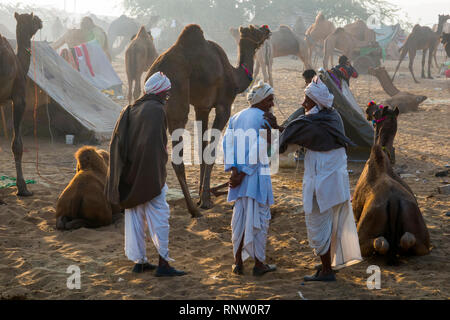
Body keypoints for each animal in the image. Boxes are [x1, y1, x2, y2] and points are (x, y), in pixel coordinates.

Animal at [146, 24, 268, 218]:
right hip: (177, 105)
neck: (234, 76)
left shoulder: (201, 107)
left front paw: (203, 194)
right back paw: (193, 210)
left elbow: (202, 147)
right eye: (255, 29)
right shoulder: (223, 106)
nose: (267, 29)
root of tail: (154, 70)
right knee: (176, 159)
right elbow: (210, 150)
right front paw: (205, 201)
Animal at [354, 106, 430, 264]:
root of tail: (394, 202)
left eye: (376, 112)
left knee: (380, 243)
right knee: (411, 240)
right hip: (421, 235)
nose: (367, 109)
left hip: (364, 231)